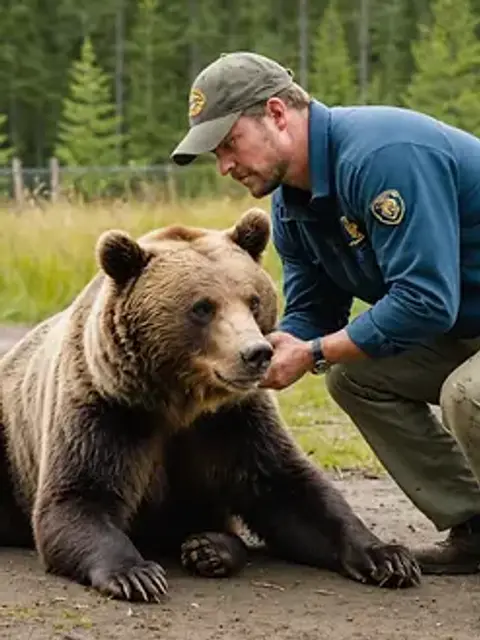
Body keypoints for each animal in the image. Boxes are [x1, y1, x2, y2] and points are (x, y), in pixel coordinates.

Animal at [0, 207, 421, 602]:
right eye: (202, 307)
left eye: (253, 300)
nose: (257, 353)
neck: (179, 400)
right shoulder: (107, 410)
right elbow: (77, 500)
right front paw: (136, 575)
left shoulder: (232, 422)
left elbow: (290, 489)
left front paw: (389, 557)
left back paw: (210, 548)